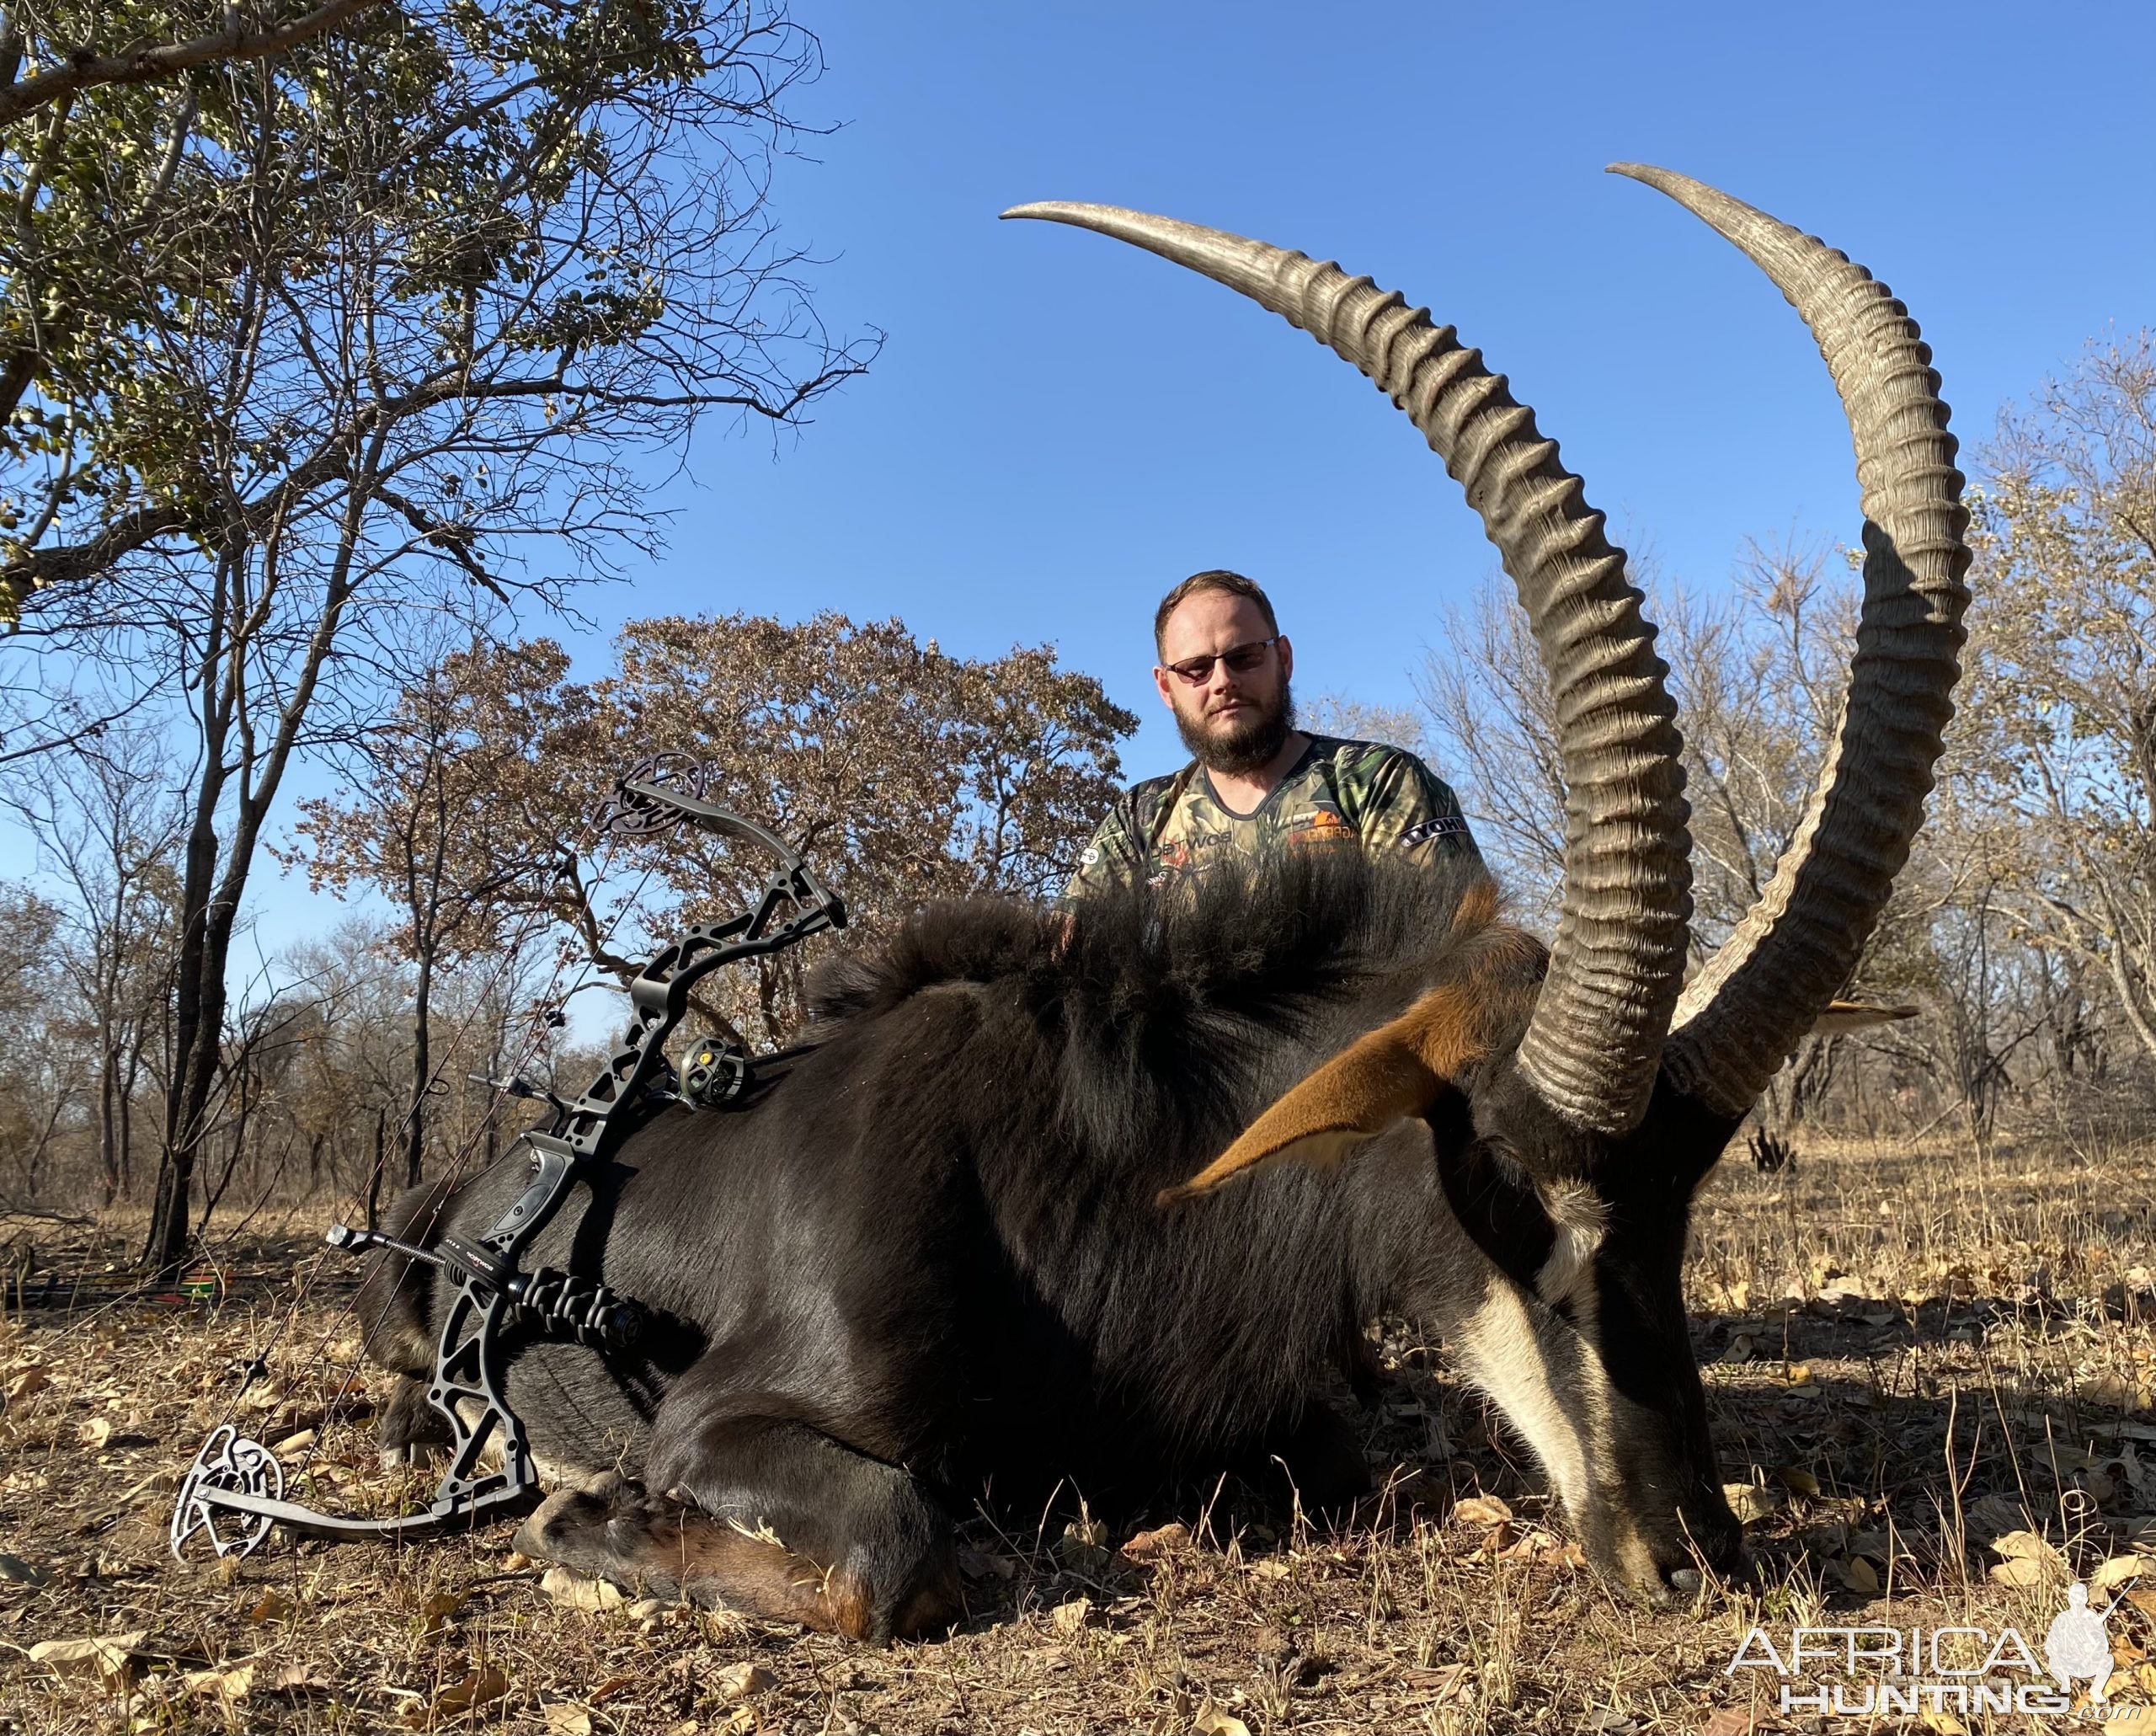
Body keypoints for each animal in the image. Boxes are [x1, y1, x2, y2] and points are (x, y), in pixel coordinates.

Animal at [362, 168, 1974, 1648]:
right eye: (1514, 1191)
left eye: (1678, 1212)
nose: (1692, 1554)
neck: (1091, 1183)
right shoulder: (721, 1416)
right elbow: (894, 1551)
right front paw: (583, 1513)